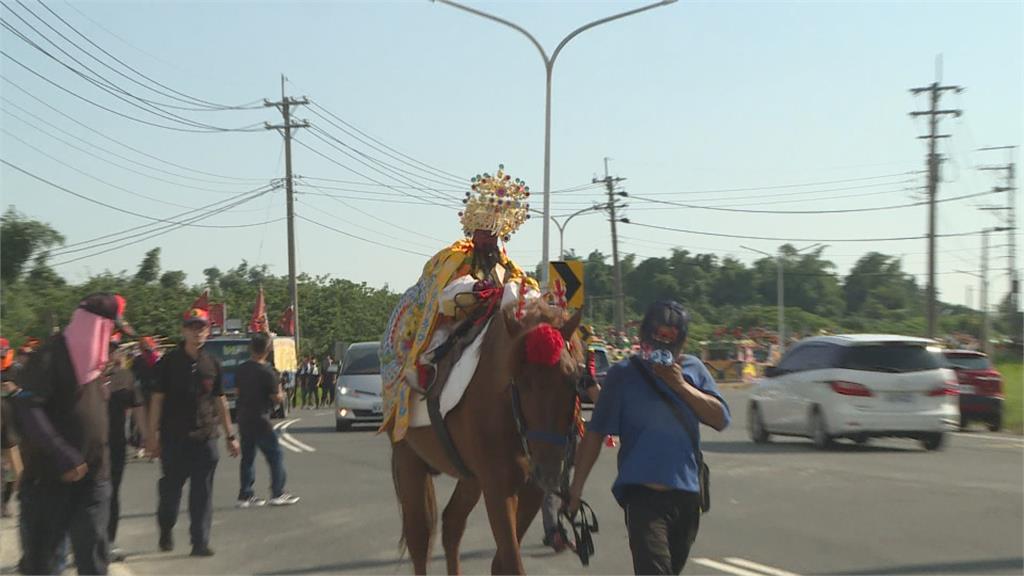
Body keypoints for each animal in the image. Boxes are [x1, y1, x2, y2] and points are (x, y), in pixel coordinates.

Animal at [389, 303, 585, 569]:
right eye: (521, 382)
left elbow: (501, 563)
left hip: (470, 476)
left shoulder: (531, 490)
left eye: (572, 377)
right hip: (408, 459)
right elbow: (512, 563)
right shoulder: (498, 489)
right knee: (419, 539)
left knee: (452, 524)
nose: (549, 470)